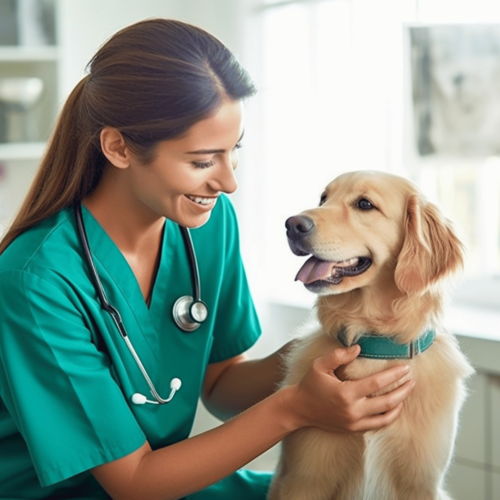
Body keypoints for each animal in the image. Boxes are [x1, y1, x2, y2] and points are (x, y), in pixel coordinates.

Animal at [268, 170, 474, 498]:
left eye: (364, 204)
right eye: (323, 199)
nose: (292, 224)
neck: (374, 344)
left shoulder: (421, 482)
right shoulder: (304, 478)